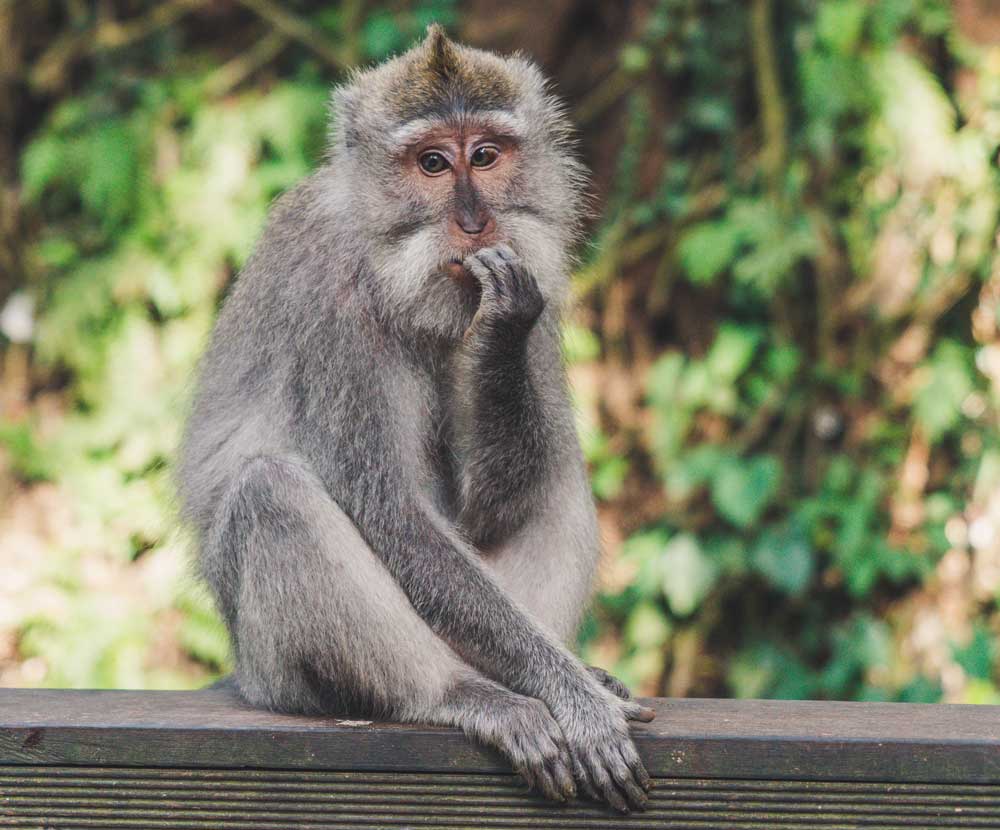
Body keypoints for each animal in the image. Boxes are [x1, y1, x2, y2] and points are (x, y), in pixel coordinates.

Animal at [176, 25, 654, 813]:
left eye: (485, 155)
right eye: (432, 162)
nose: (474, 222)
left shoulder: (541, 281)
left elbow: (488, 507)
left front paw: (500, 326)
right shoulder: (332, 300)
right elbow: (392, 510)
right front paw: (573, 699)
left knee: (556, 473)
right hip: (277, 673)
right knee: (271, 492)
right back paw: (463, 693)